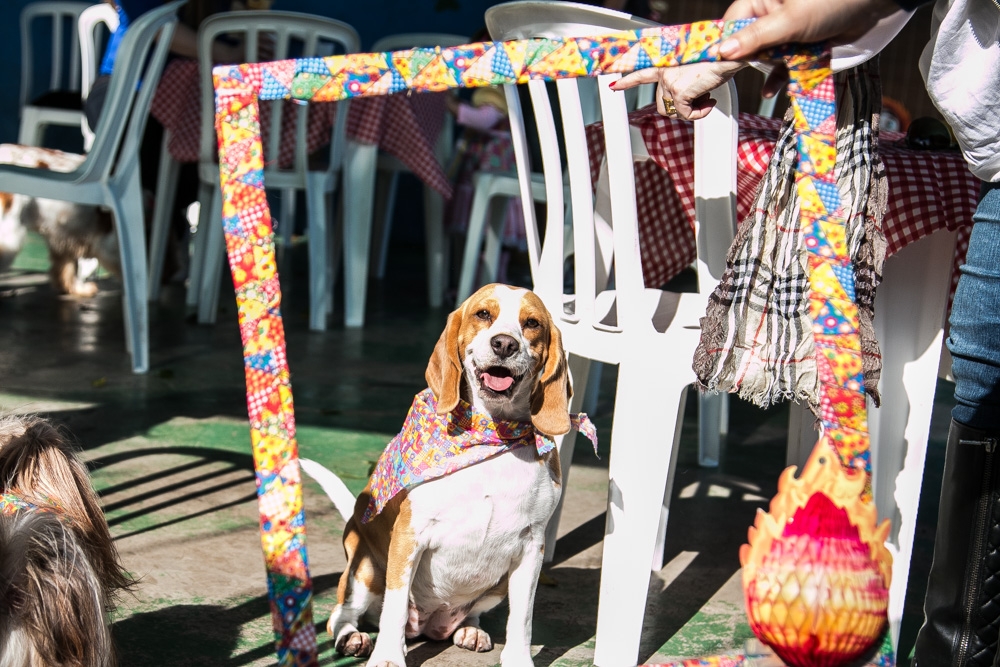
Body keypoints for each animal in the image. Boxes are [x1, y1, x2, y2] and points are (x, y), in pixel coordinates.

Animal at [326, 284, 580, 667]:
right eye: (483, 314)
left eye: (532, 323)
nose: (505, 344)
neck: (493, 434)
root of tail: (427, 625)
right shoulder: (410, 537)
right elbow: (394, 607)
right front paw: (388, 657)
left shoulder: (531, 547)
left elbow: (522, 618)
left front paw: (518, 659)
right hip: (366, 571)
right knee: (343, 615)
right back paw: (354, 638)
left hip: (497, 584)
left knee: (470, 614)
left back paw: (470, 630)